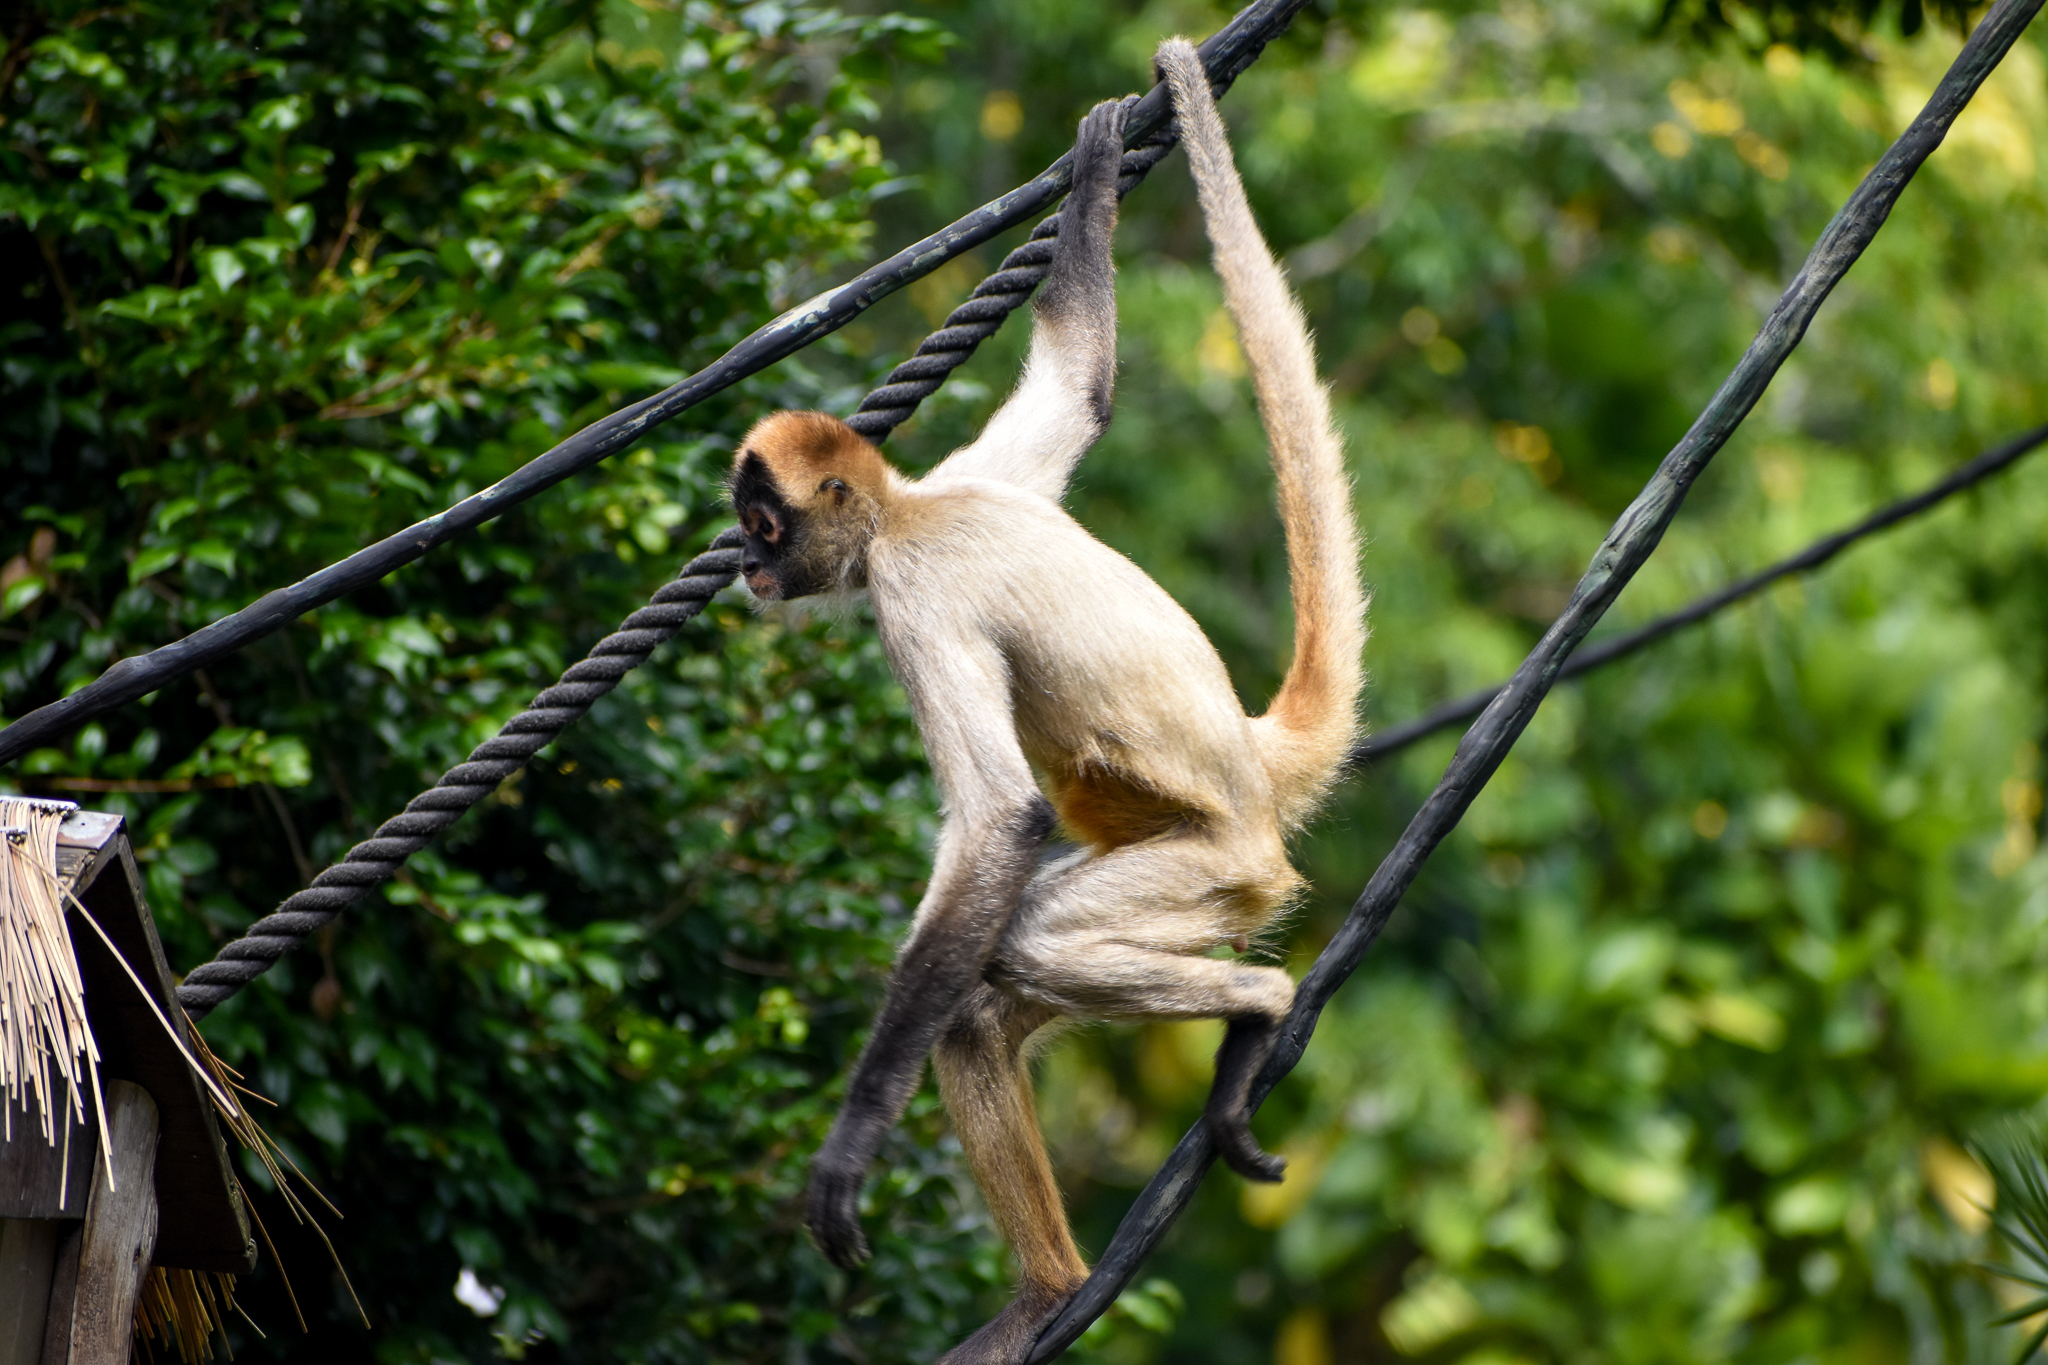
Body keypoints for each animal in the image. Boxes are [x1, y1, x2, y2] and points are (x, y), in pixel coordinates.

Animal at [727, 40, 1363, 1365]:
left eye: (763, 525)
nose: (747, 570)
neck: (911, 511)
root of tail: (1251, 759)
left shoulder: (912, 595)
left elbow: (998, 824)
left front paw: (848, 1149)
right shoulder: (979, 472)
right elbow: (1081, 385)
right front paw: (1094, 162)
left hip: (1217, 869)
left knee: (1021, 932)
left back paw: (1254, 1012)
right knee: (976, 1007)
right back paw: (1047, 1290)